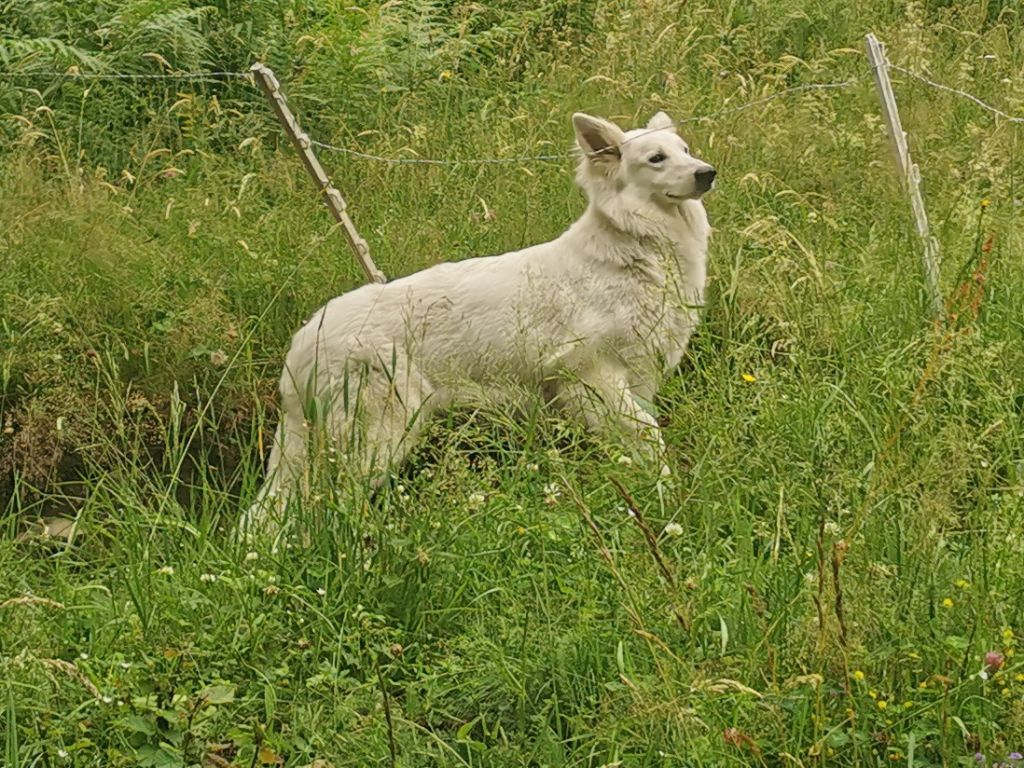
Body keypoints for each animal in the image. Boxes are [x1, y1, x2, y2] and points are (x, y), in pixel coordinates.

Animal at [245, 109, 712, 528]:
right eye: (656, 158)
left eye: (686, 150)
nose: (708, 173)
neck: (638, 247)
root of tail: (304, 338)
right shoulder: (595, 378)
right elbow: (652, 440)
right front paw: (669, 499)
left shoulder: (636, 382)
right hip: (376, 437)